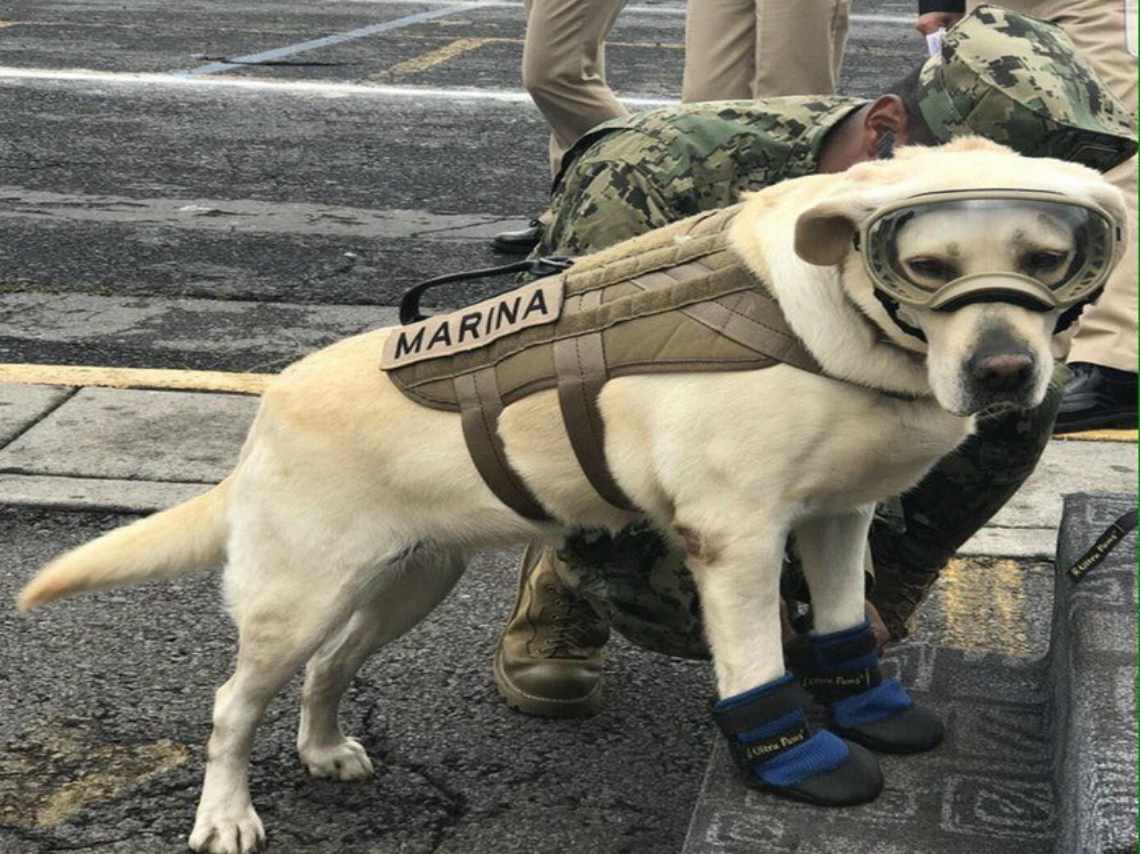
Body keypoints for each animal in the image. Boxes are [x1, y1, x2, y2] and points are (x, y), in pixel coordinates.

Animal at [15, 136, 1121, 848]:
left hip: (404, 582)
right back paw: (226, 814)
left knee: (328, 669)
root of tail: (267, 412)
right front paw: (795, 759)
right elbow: (759, 664)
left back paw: (326, 747)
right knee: (230, 704)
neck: (831, 315)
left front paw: (873, 706)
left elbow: (846, 627)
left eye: (1049, 259)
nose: (1004, 373)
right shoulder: (736, 539)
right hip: (296, 597)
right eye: (926, 264)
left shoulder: (838, 519)